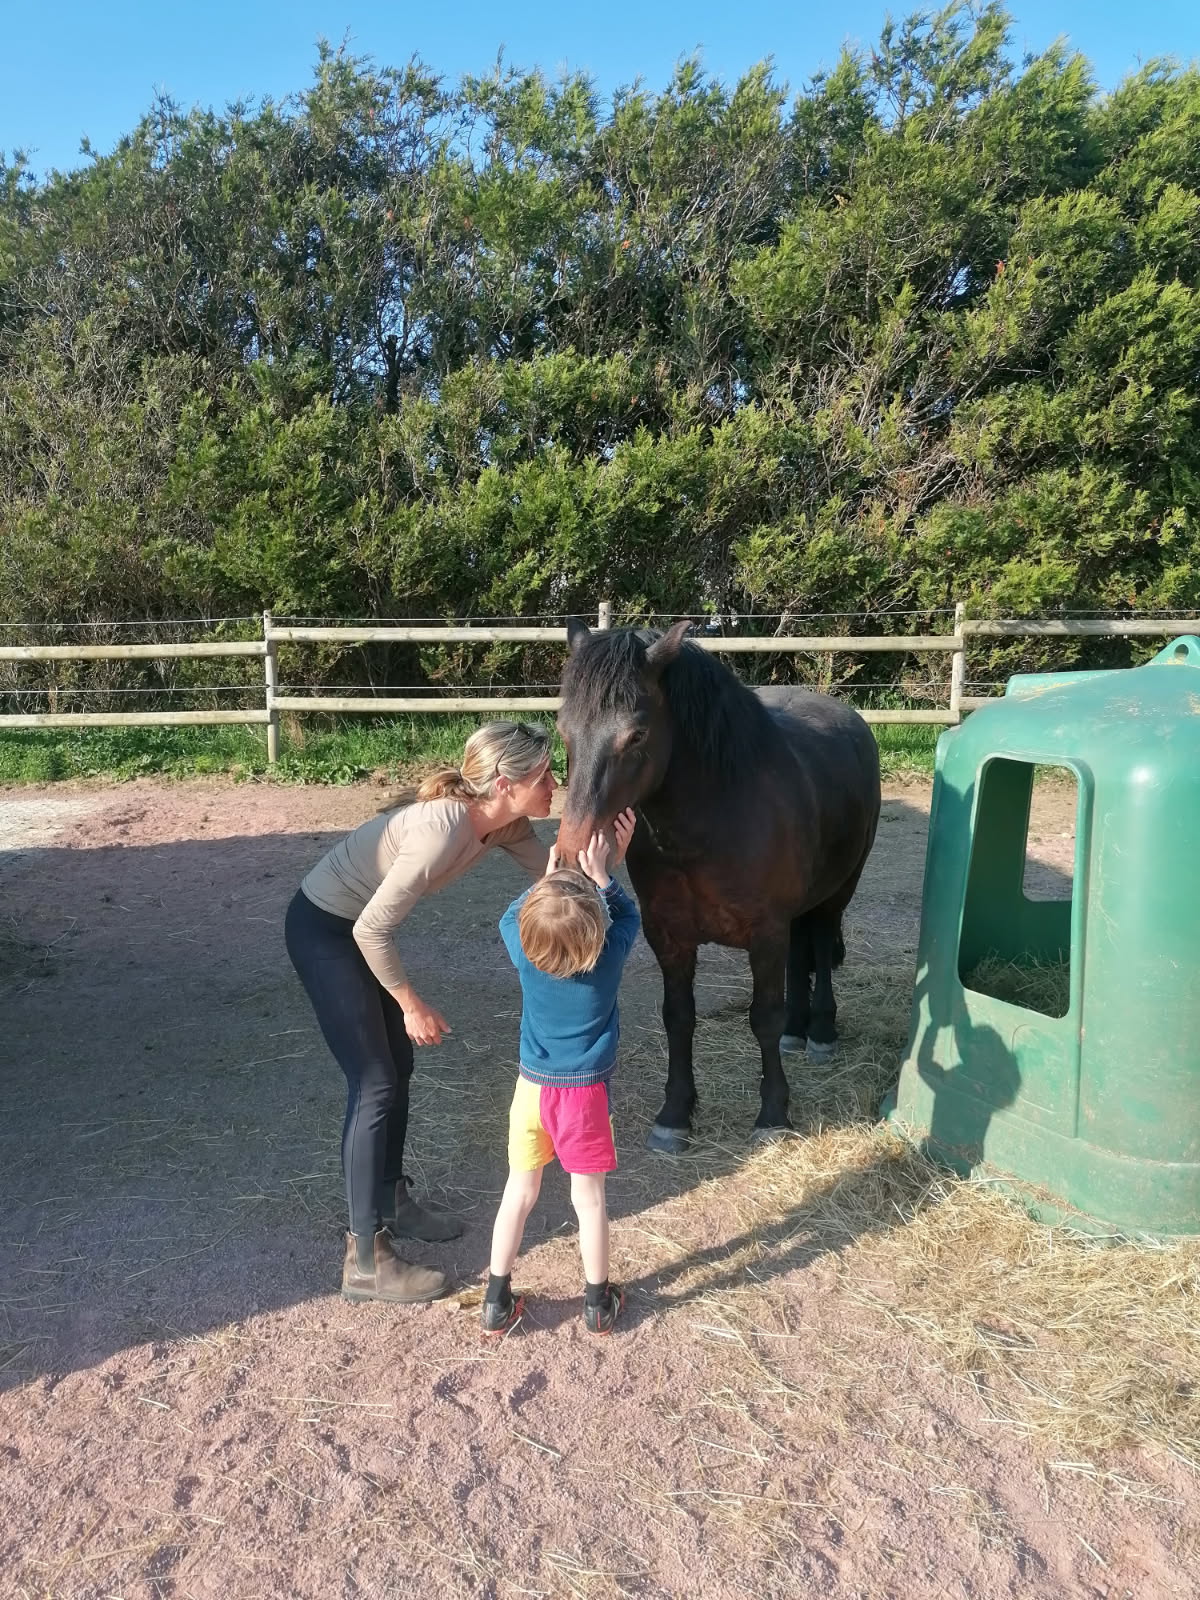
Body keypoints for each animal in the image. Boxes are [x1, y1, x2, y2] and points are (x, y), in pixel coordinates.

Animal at [555, 618, 881, 1152]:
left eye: (637, 734)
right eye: (564, 730)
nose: (570, 858)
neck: (713, 821)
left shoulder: (766, 933)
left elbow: (763, 1017)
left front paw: (773, 1115)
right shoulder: (668, 936)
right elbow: (678, 1016)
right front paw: (674, 1115)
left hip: (837, 893)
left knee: (819, 942)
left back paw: (819, 1031)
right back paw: (798, 1030)